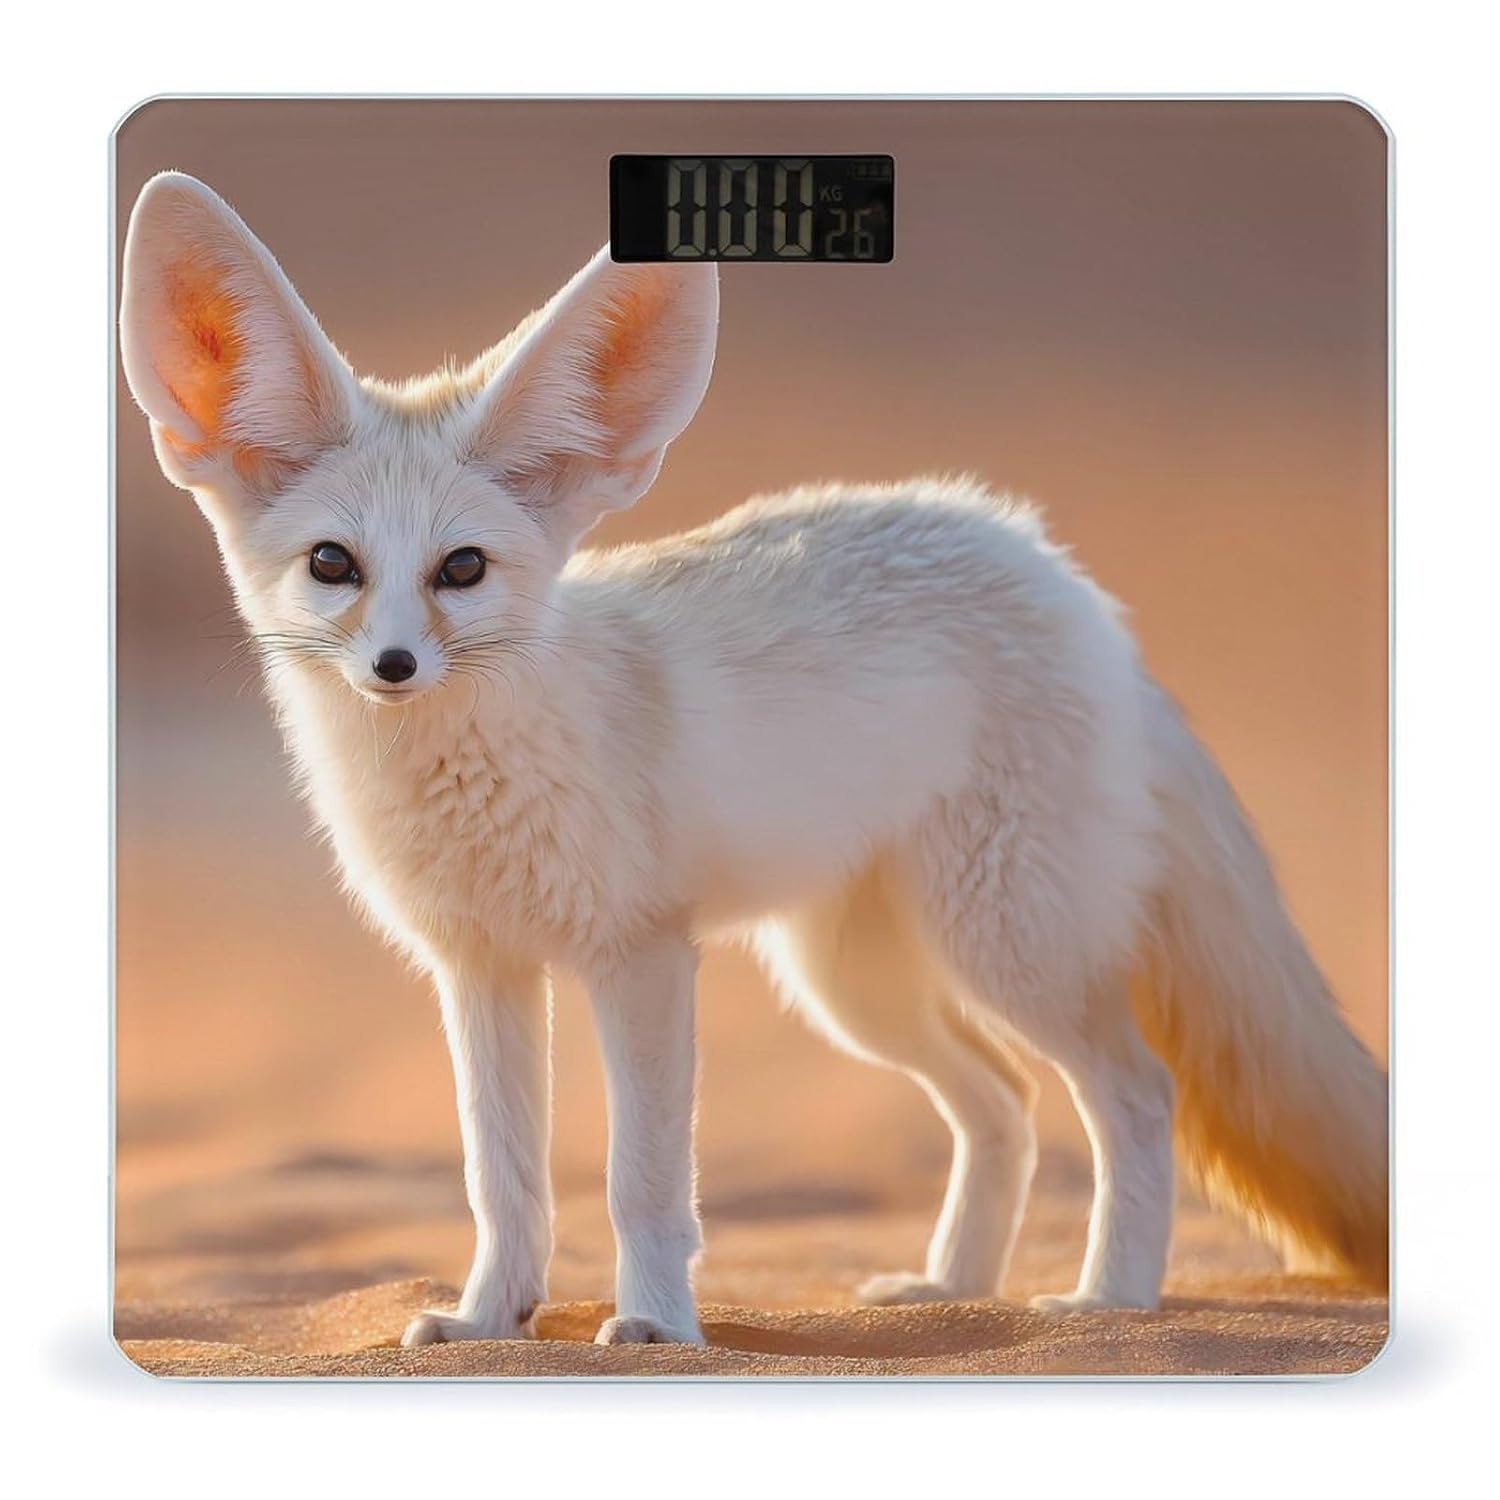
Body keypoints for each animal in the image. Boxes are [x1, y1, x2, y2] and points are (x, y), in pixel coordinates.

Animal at [119, 172, 1387, 1348]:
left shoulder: (638, 955)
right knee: (1003, 1105)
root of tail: (1064, 577)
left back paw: (1107, 1302)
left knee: (1131, 1094)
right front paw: (488, 1321)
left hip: (1007, 949)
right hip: (856, 983)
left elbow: (640, 1179)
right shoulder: (480, 969)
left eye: (462, 570)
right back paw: (954, 1290)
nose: (392, 666)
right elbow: (503, 1180)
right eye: (333, 564)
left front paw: (655, 1328)